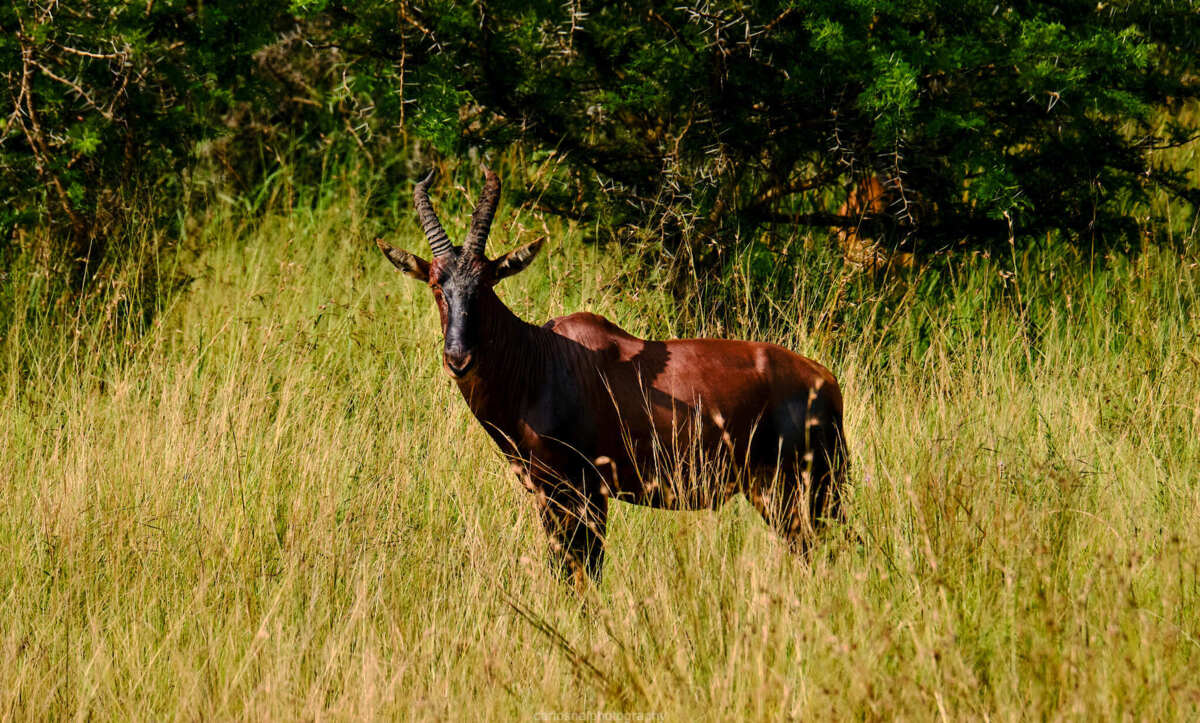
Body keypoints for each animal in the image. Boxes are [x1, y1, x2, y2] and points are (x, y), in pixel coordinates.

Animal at [379, 165, 849, 583]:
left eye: (487, 281)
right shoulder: (551, 493)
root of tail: (827, 383)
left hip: (802, 491)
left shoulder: (582, 491)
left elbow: (582, 573)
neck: (540, 359)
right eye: (436, 283)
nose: (458, 358)